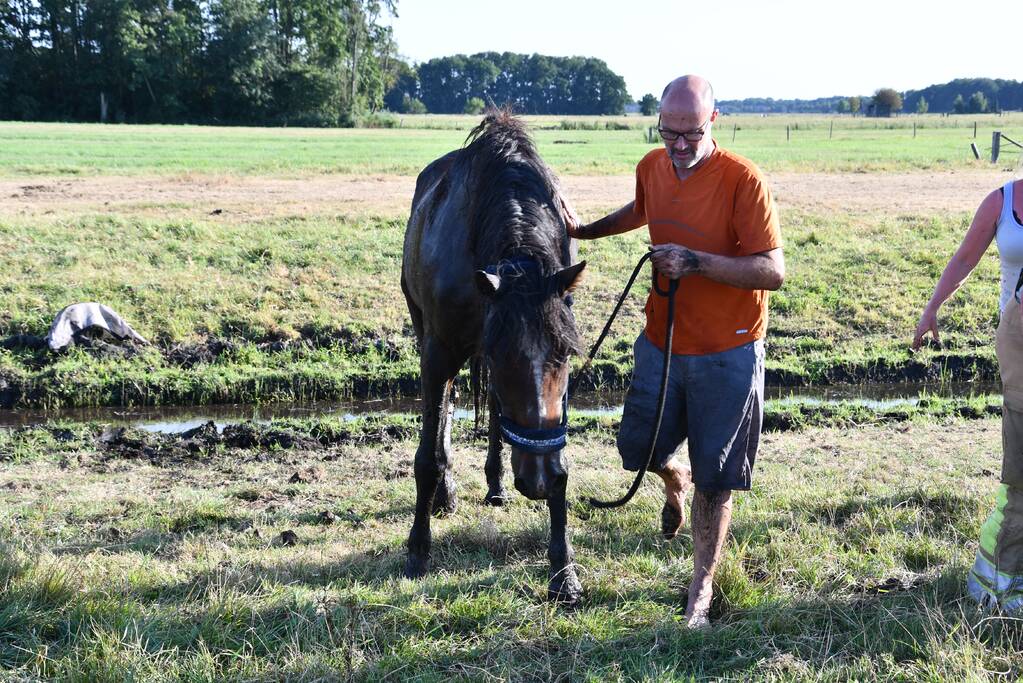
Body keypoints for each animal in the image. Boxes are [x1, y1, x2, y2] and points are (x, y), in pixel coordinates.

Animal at [403, 107, 589, 601]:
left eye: (566, 354)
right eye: (505, 357)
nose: (537, 479)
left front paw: (563, 569)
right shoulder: (440, 354)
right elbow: (428, 455)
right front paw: (417, 550)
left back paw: (496, 483)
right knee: (446, 420)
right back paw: (447, 495)